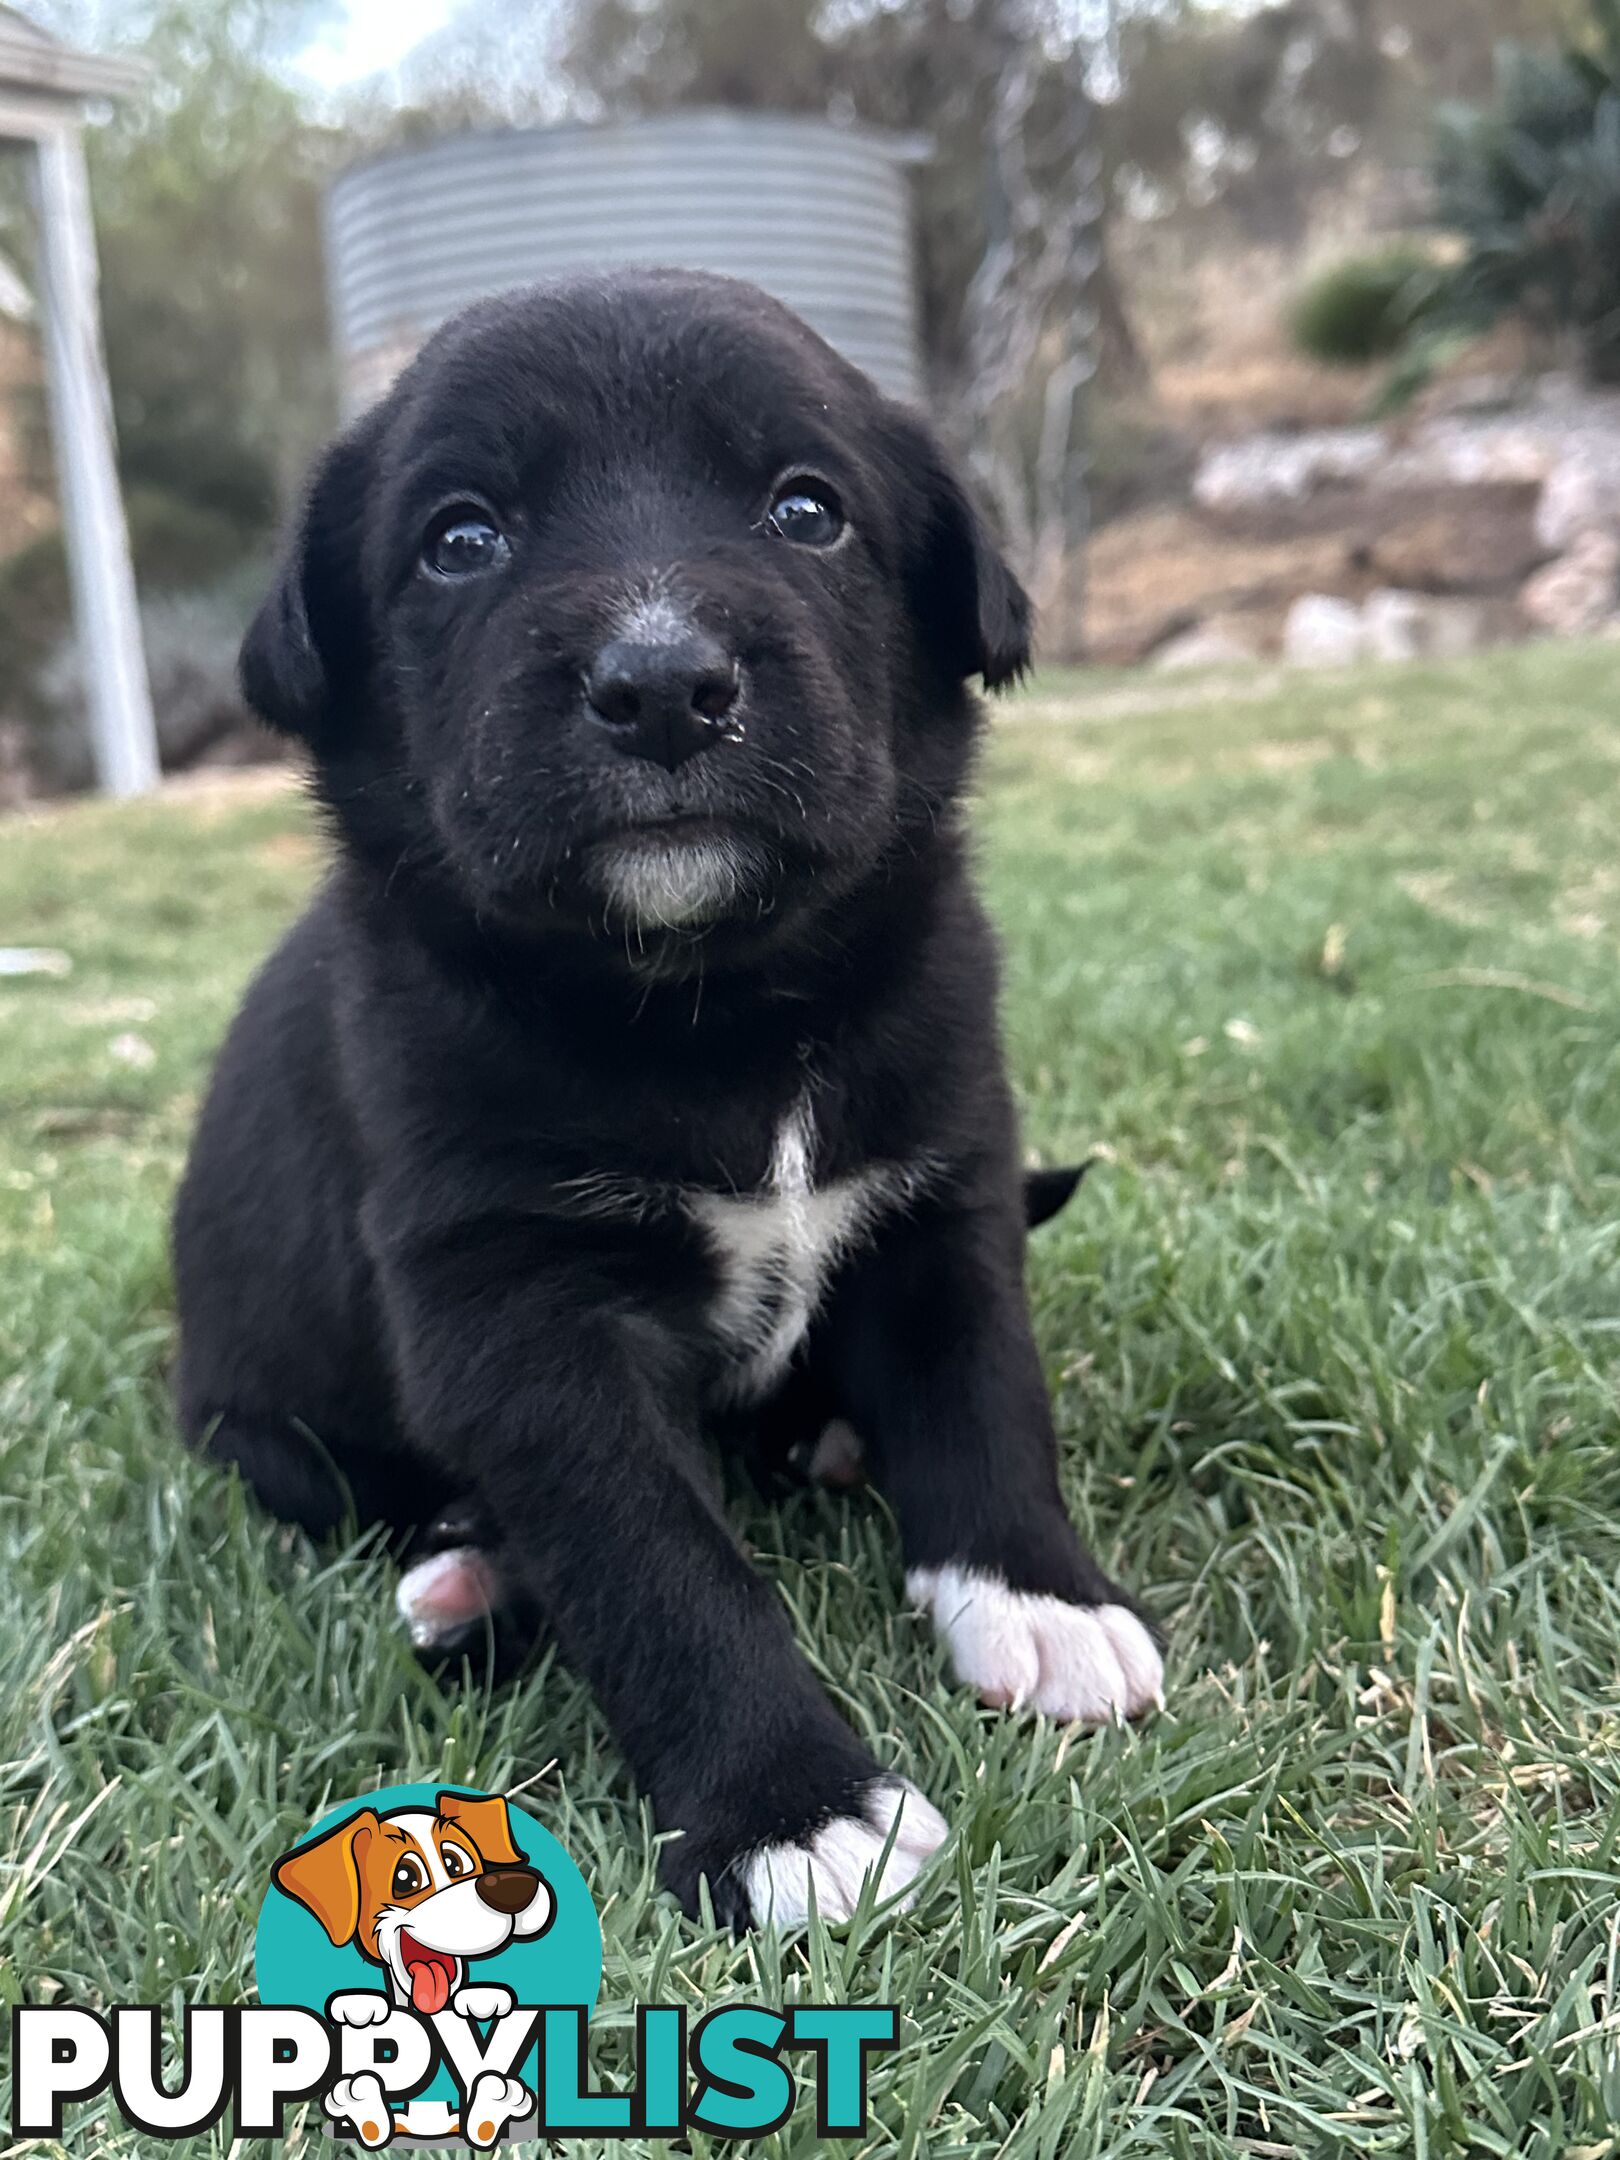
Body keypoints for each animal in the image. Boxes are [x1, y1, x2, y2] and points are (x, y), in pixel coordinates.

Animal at [174, 265, 1166, 1926]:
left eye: (807, 511)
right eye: (460, 539)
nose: (659, 689)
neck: (718, 1008)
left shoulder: (946, 1189)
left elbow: (985, 1399)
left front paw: (1040, 1600)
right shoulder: (514, 1308)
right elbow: (656, 1557)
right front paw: (789, 1811)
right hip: (265, 1430)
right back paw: (471, 1575)